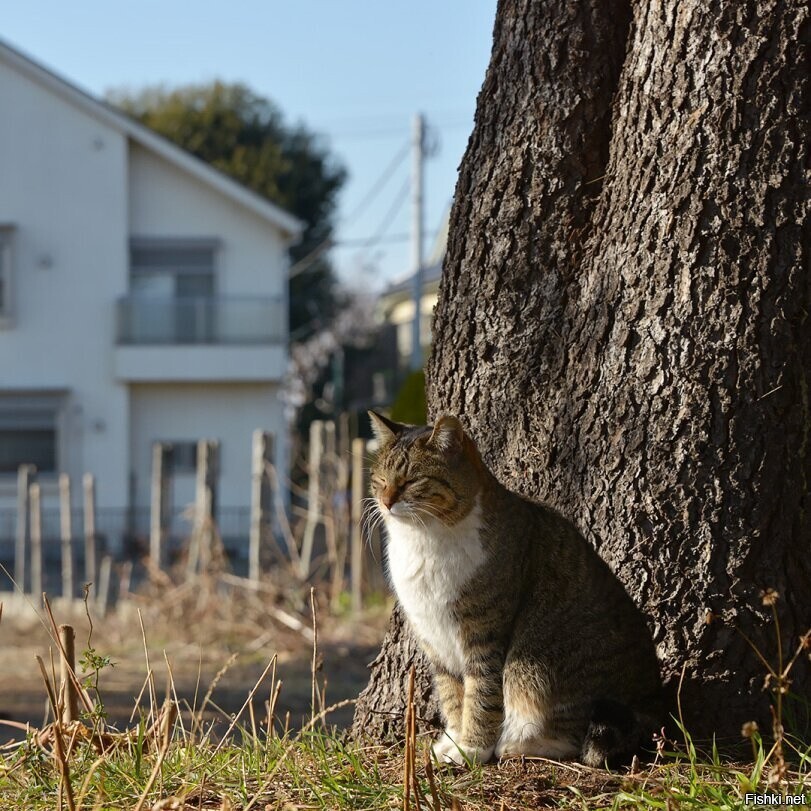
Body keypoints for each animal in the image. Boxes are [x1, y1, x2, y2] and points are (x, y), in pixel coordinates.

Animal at [372, 412, 664, 768]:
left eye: (412, 481)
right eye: (379, 480)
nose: (385, 502)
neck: (423, 539)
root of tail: (650, 701)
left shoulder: (484, 633)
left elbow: (481, 694)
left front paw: (472, 749)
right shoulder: (434, 639)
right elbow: (452, 693)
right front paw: (453, 740)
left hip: (532, 662)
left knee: (572, 736)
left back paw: (519, 744)